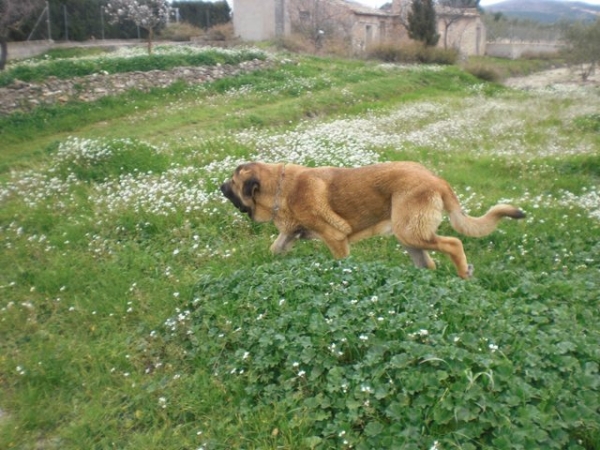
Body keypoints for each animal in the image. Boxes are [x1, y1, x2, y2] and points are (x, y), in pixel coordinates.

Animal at [221, 163, 524, 278]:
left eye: (232, 182)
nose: (219, 186)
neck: (281, 188)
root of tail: (438, 180)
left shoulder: (335, 238)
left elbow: (341, 261)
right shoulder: (288, 234)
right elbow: (275, 249)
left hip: (411, 232)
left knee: (453, 243)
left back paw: (463, 274)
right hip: (408, 236)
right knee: (429, 263)